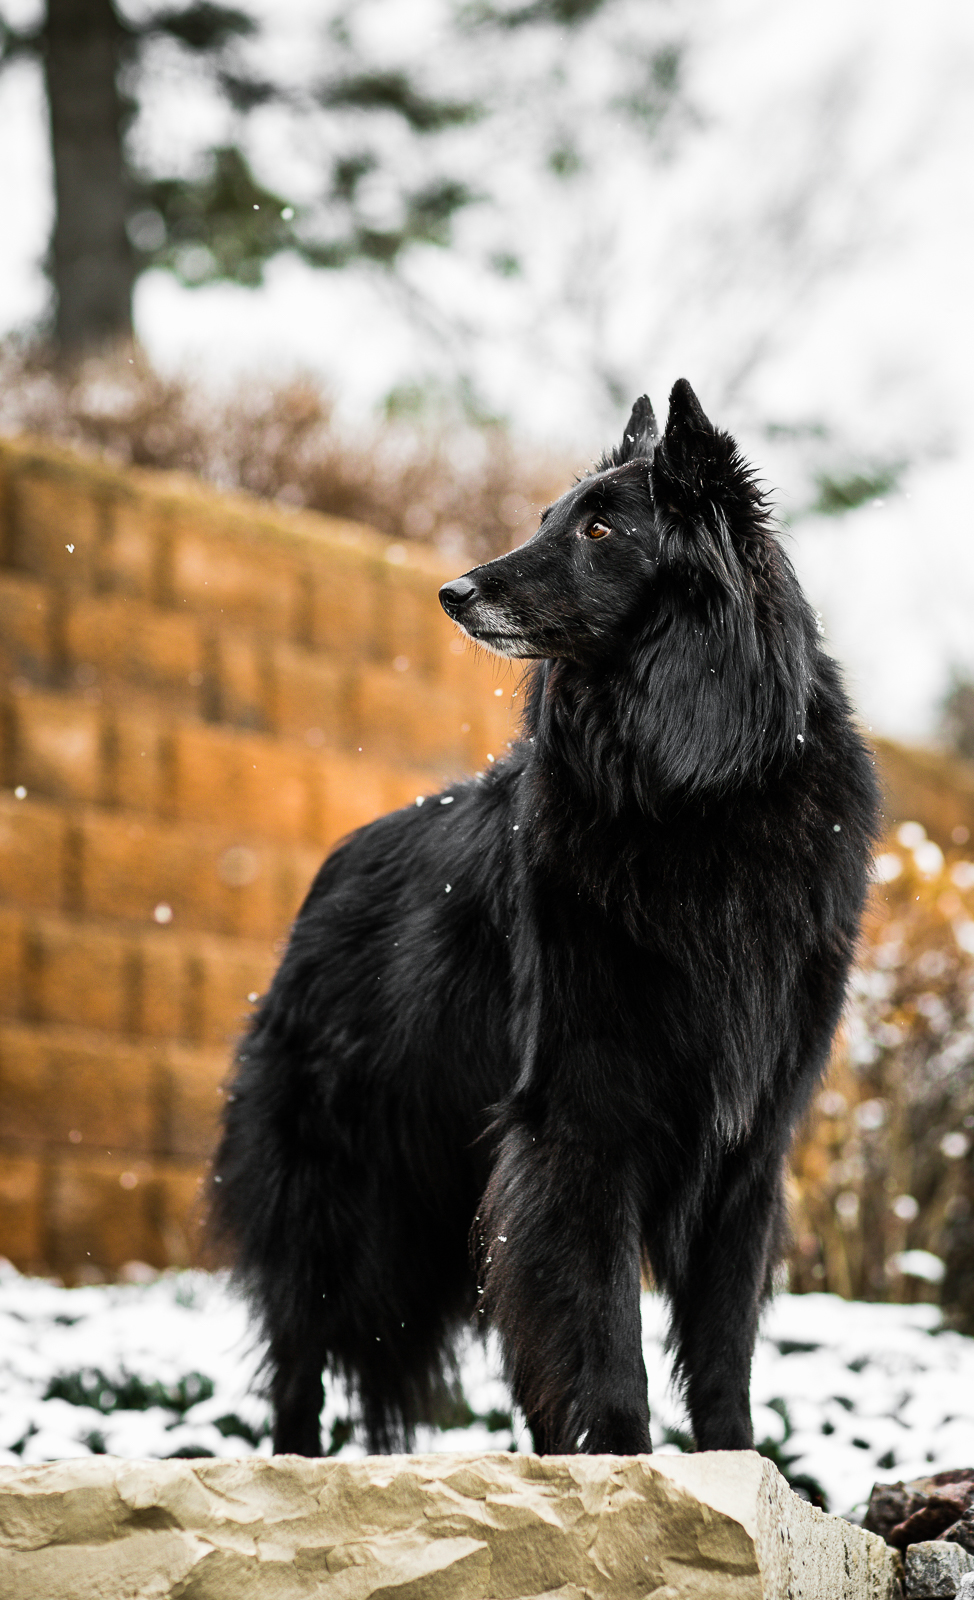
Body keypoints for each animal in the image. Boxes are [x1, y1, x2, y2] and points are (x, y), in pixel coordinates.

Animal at [209, 380, 876, 1459]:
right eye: (545, 521)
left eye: (601, 529)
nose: (452, 592)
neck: (696, 791)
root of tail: (330, 870)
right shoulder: (579, 1122)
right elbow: (601, 1333)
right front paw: (626, 1466)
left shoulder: (744, 1150)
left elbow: (721, 1345)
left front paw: (738, 1469)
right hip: (339, 1200)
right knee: (299, 1354)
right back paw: (293, 1465)